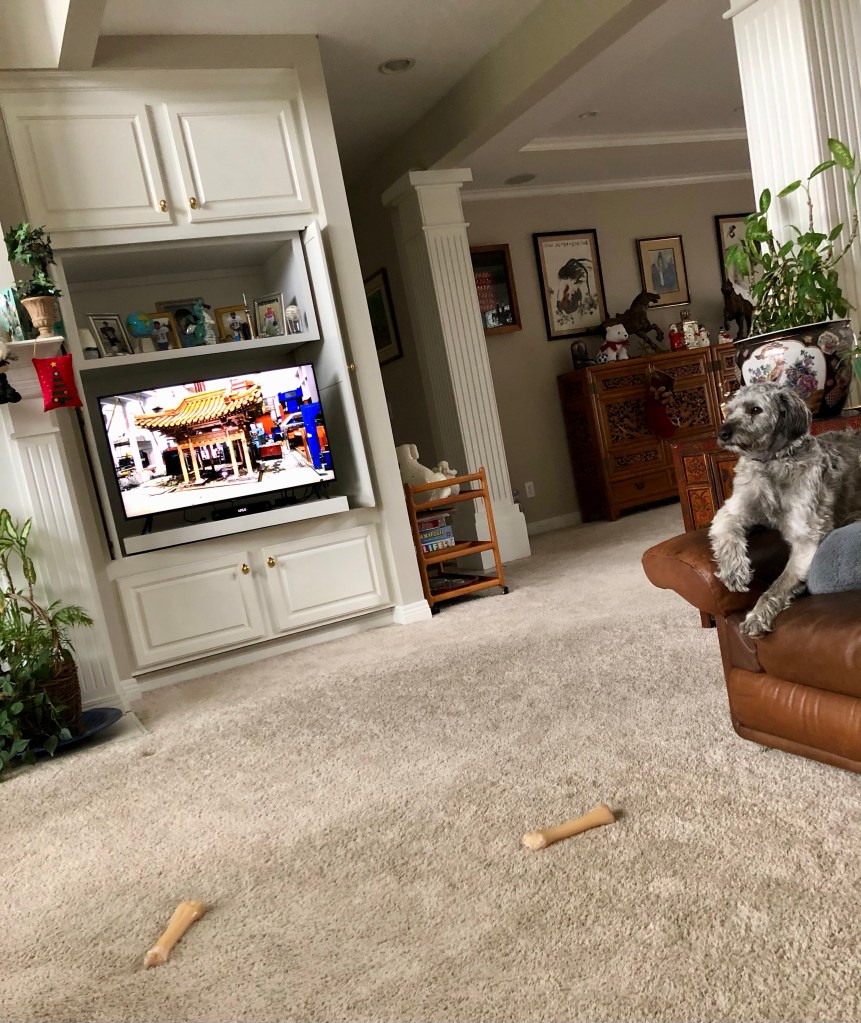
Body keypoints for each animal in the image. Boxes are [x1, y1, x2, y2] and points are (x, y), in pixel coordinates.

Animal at [709, 382, 861, 636]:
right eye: (729, 411)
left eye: (755, 409)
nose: (723, 433)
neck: (771, 463)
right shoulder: (732, 511)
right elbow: (725, 532)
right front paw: (734, 571)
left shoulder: (805, 539)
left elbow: (777, 586)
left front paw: (757, 616)